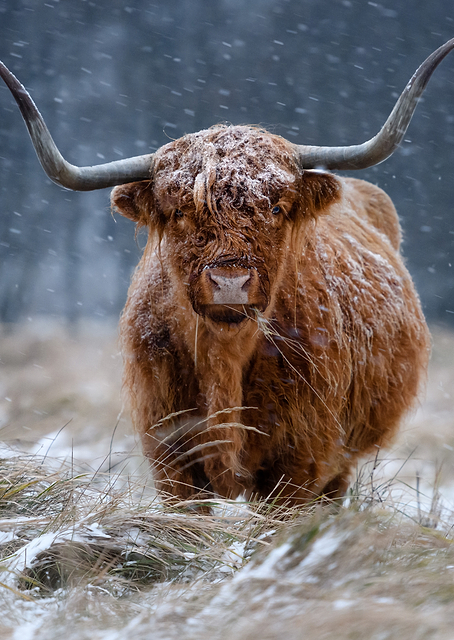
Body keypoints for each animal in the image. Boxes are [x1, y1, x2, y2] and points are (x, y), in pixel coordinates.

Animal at [1, 39, 452, 508]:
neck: (225, 358)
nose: (230, 283)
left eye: (276, 207)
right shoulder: (171, 456)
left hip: (342, 460)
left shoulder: (302, 461)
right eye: (179, 211)